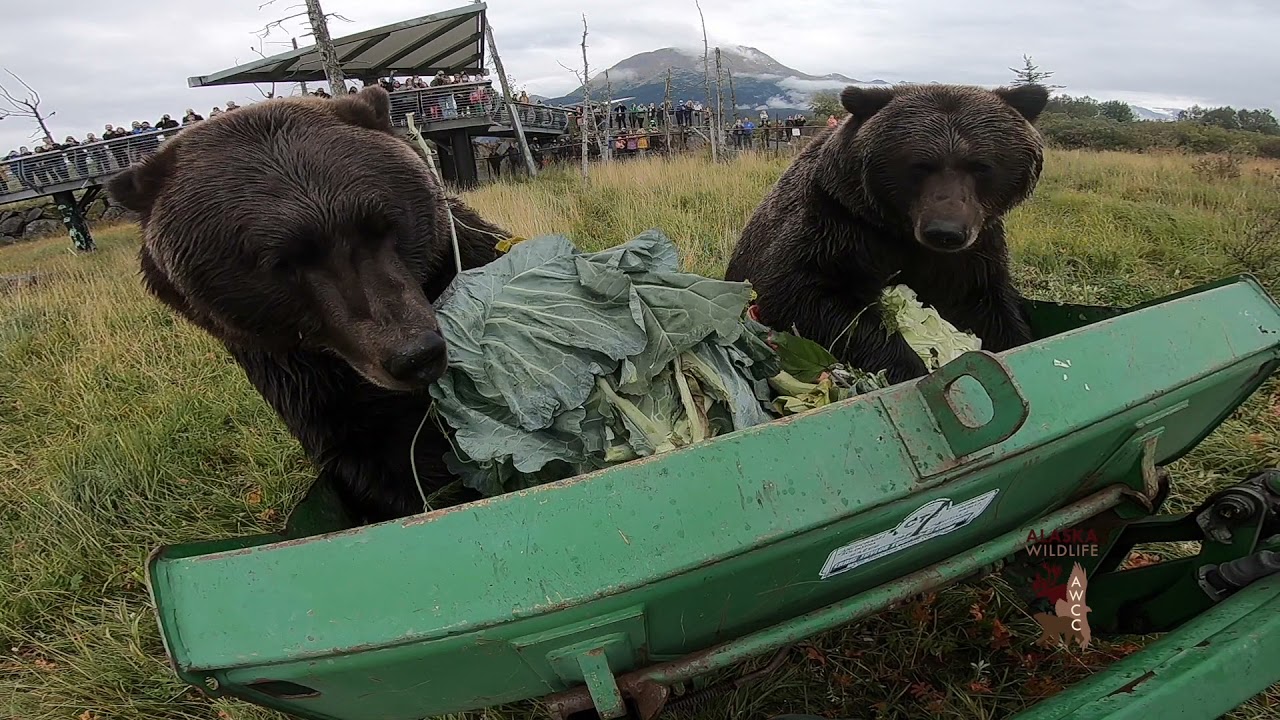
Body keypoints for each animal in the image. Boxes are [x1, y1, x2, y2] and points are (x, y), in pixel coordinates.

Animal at [724, 82, 1049, 384]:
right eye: (920, 165)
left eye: (981, 165)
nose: (945, 231)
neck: (902, 234)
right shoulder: (839, 227)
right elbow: (800, 291)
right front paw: (911, 366)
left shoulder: (973, 252)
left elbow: (991, 307)